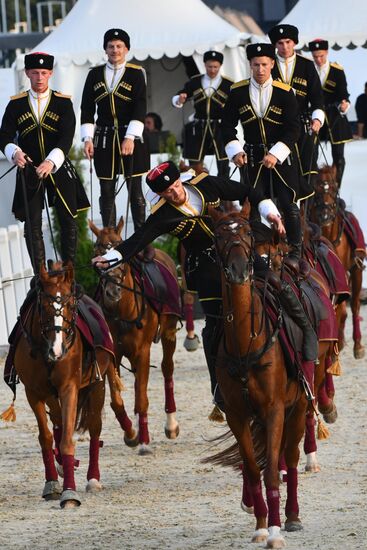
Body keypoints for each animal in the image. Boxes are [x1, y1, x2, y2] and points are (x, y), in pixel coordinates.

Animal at [11, 262, 137, 508]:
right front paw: (52, 483)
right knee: (58, 421)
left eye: (70, 304)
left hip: (97, 385)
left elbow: (68, 438)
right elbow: (46, 437)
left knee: (95, 426)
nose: (57, 350)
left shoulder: (69, 388)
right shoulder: (33, 392)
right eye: (44, 305)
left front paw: (69, 492)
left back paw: (93, 478)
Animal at [89, 220, 181, 458]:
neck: (122, 312)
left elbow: (141, 398)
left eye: (119, 249)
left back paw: (170, 424)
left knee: (167, 368)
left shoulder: (143, 351)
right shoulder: (112, 353)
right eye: (97, 250)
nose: (113, 291)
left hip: (168, 332)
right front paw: (131, 432)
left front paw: (144, 441)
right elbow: (116, 400)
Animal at [204, 204, 336, 550]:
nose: (239, 270)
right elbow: (253, 468)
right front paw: (261, 525)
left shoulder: (275, 409)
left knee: (289, 456)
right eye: (218, 235)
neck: (245, 342)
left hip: (299, 403)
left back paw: (292, 516)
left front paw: (275, 530)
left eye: (248, 232)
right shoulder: (238, 414)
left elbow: (274, 470)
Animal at [310, 166, 366, 360]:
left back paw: (357, 345)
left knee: (355, 305)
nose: (325, 214)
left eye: (334, 188)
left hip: (356, 271)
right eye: (316, 189)